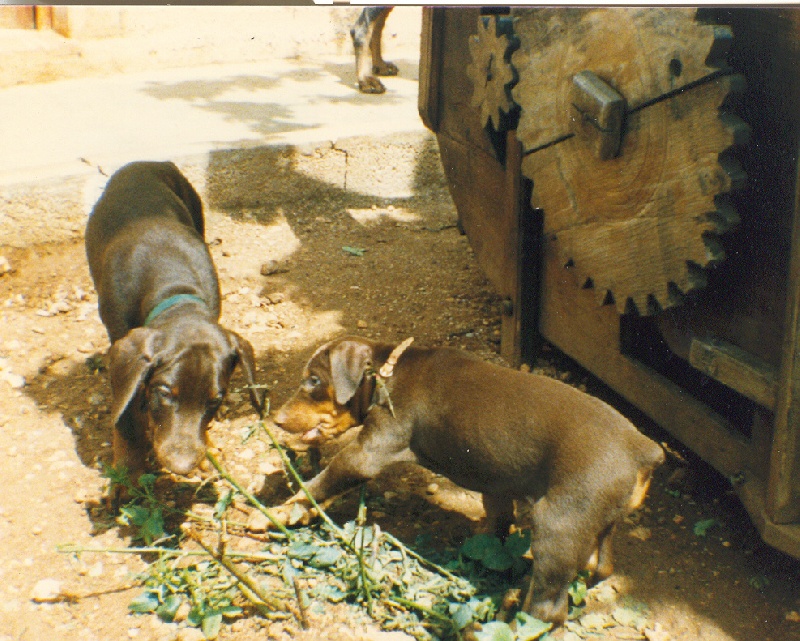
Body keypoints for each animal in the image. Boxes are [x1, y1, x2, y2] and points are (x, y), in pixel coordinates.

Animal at [86, 161, 264, 484]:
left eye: (215, 400)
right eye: (165, 393)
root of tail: (146, 163)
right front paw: (130, 475)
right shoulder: (120, 344)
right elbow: (126, 413)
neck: (173, 288)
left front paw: (208, 449)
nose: (182, 466)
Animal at [274, 338, 664, 624]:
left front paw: (276, 514)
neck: (387, 371)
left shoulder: (367, 453)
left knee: (547, 612)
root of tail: (643, 450)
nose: (275, 419)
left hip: (560, 523)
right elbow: (498, 522)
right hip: (600, 521)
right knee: (600, 566)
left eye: (313, 380)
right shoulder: (496, 482)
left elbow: (319, 484)